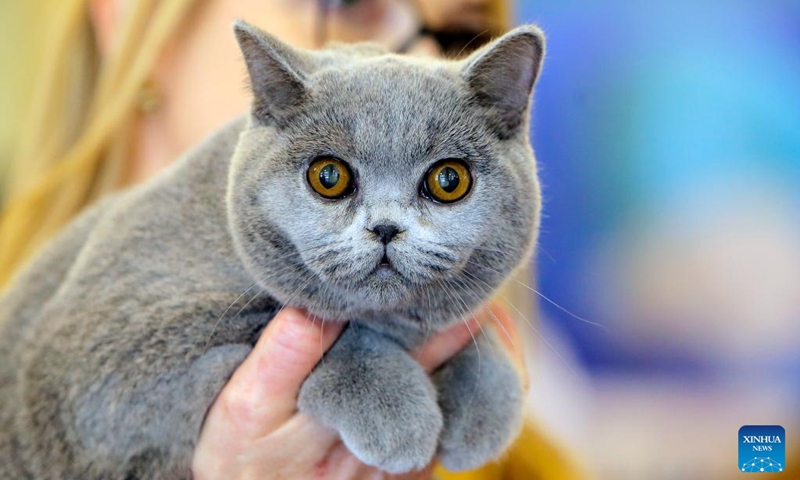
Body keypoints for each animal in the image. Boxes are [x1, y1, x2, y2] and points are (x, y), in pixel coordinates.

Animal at [0, 19, 544, 480]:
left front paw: (487, 403)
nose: (386, 228)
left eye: (449, 180)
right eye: (329, 176)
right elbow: (301, 323)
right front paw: (397, 413)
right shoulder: (98, 364)